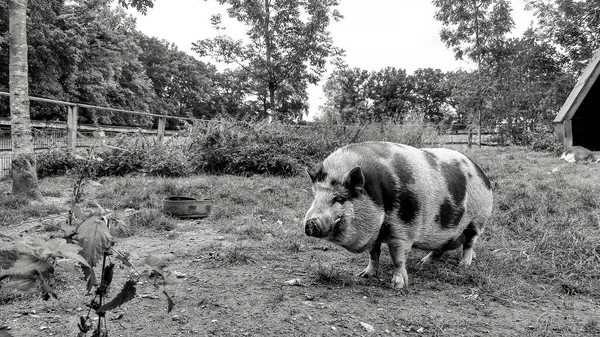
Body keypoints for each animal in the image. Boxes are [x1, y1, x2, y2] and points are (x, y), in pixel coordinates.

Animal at [304, 140, 492, 288]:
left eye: (339, 198)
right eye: (315, 196)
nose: (310, 223)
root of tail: (481, 172)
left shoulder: (403, 229)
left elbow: (398, 257)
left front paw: (398, 285)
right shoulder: (374, 231)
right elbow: (373, 254)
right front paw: (364, 275)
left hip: (478, 219)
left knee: (469, 243)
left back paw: (463, 265)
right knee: (440, 247)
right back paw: (423, 262)